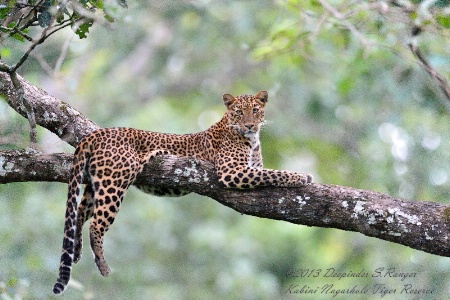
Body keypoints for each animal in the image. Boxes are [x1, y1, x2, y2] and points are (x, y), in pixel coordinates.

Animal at [51, 90, 312, 294]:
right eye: (239, 112)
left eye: (256, 110)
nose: (250, 125)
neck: (252, 139)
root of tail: (98, 132)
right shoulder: (232, 171)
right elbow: (274, 173)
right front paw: (301, 176)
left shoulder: (251, 168)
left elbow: (267, 171)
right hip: (115, 182)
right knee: (96, 224)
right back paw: (103, 265)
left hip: (96, 184)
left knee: (79, 214)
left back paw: (76, 251)